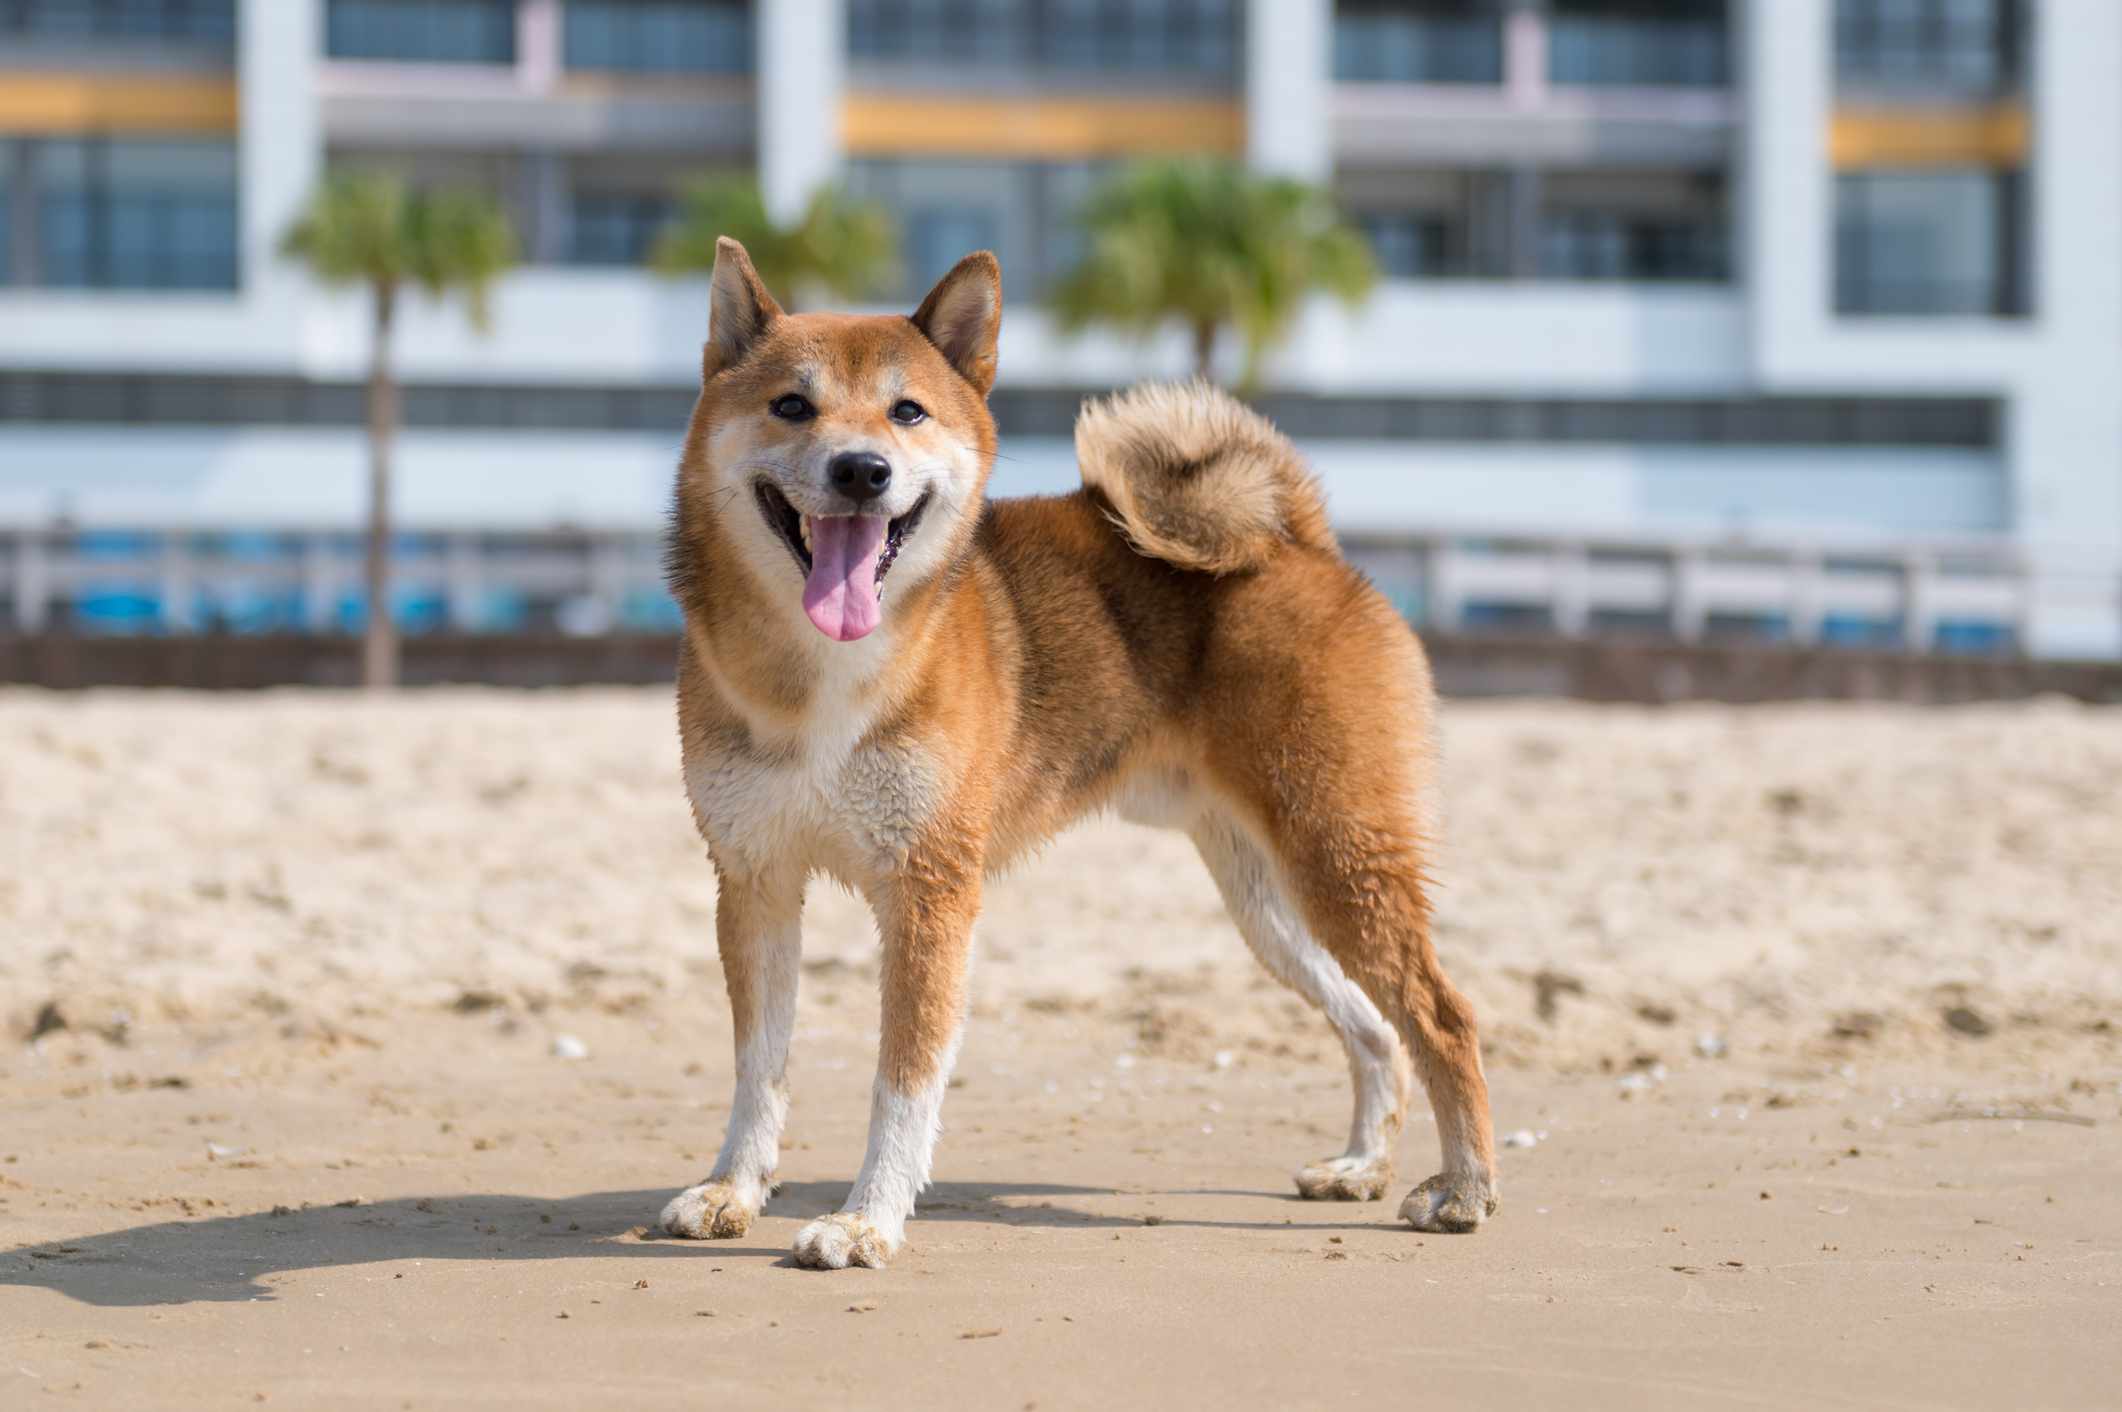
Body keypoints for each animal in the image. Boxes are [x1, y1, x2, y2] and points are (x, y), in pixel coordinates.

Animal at [653, 239, 1502, 1265]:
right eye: (791, 406)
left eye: (907, 412)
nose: (861, 470)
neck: (822, 671)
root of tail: (1300, 543)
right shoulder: (756, 880)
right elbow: (759, 1066)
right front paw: (733, 1189)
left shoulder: (929, 890)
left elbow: (903, 1082)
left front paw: (866, 1220)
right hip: (1270, 900)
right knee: (1376, 1027)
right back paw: (1361, 1166)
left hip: (1337, 856)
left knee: (1442, 1016)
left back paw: (1463, 1187)